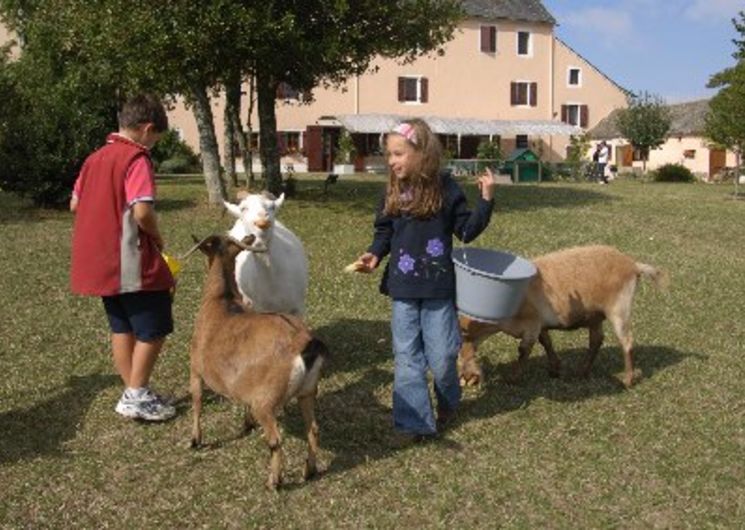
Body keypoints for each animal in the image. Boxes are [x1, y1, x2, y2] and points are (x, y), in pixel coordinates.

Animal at [186, 233, 326, 488]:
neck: (221, 300)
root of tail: (304, 345)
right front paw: (246, 423)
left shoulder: (196, 368)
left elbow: (197, 401)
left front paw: (195, 440)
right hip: (307, 391)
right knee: (313, 429)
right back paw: (308, 470)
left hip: (266, 401)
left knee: (275, 439)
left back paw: (274, 481)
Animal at [456, 244, 664, 388]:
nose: (466, 378)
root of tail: (633, 265)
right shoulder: (540, 324)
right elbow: (546, 342)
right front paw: (555, 368)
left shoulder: (532, 324)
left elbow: (524, 350)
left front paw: (513, 379)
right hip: (595, 315)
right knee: (596, 340)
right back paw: (582, 372)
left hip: (619, 308)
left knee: (626, 341)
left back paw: (628, 379)